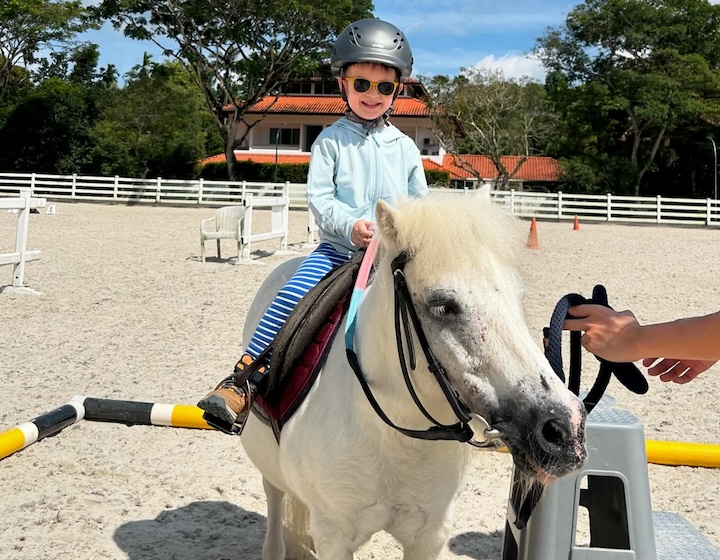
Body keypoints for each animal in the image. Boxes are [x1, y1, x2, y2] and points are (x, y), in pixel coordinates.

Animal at [242, 195, 584, 556]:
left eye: (518, 295)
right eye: (443, 305)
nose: (565, 428)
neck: (394, 432)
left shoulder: (430, 534)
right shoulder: (333, 536)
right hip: (270, 471)